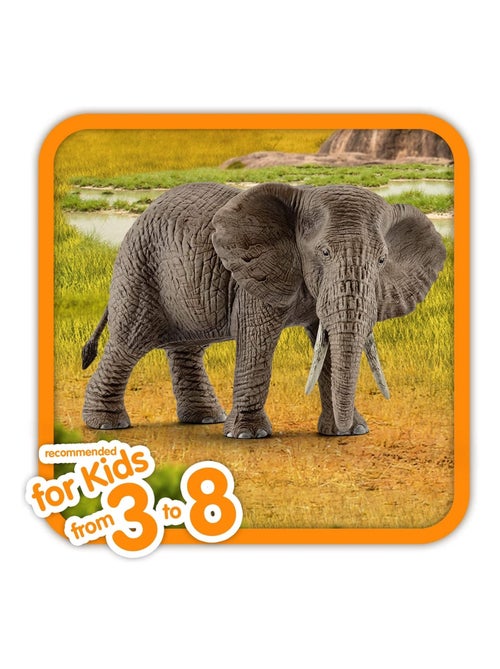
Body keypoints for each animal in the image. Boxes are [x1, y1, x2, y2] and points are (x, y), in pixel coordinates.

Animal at [81, 181, 446, 438]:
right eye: (324, 253)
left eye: (382, 260)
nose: (348, 431)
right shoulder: (254, 274)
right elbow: (257, 341)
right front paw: (248, 435)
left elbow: (326, 343)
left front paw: (347, 432)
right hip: (140, 268)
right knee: (129, 342)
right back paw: (106, 426)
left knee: (187, 348)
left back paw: (204, 420)